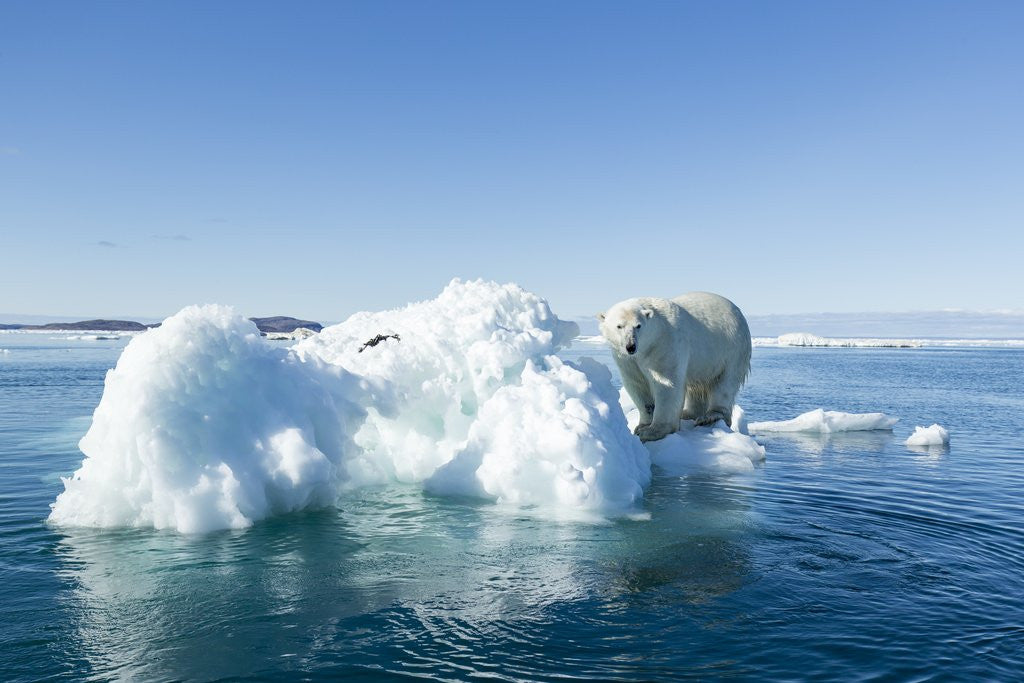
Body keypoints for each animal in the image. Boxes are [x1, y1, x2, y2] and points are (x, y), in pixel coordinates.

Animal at [598, 292, 751, 442]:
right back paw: (688, 413)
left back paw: (710, 416)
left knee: (725, 383)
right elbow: (637, 384)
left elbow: (667, 384)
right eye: (619, 326)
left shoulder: (664, 345)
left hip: (732, 349)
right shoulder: (626, 359)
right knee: (697, 387)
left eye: (638, 326)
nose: (630, 346)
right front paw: (642, 425)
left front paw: (652, 431)